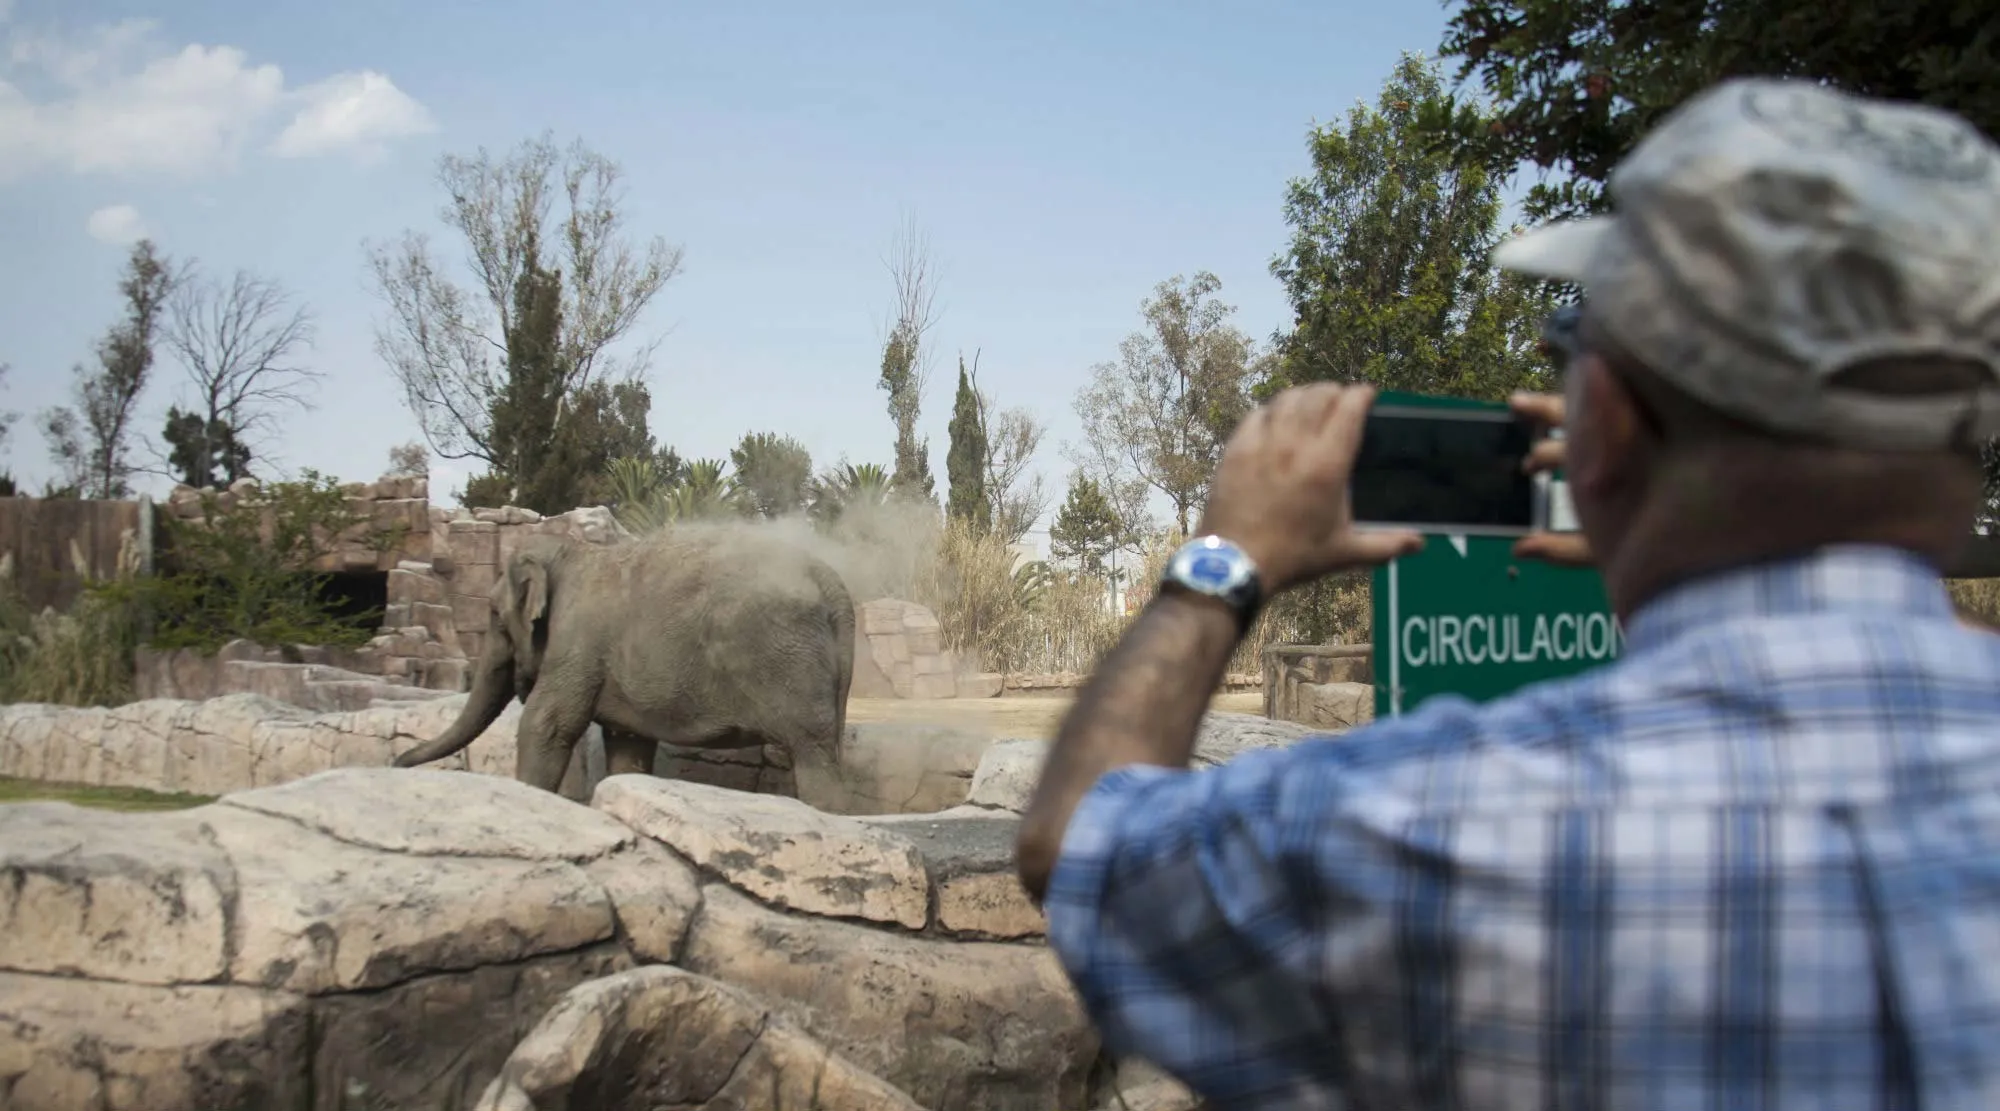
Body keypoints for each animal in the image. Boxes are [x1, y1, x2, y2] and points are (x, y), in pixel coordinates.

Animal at [394, 527, 856, 807]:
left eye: (493, 614)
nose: (398, 761)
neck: (570, 551)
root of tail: (834, 584)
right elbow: (628, 747)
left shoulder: (576, 644)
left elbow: (547, 724)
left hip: (791, 661)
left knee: (812, 753)